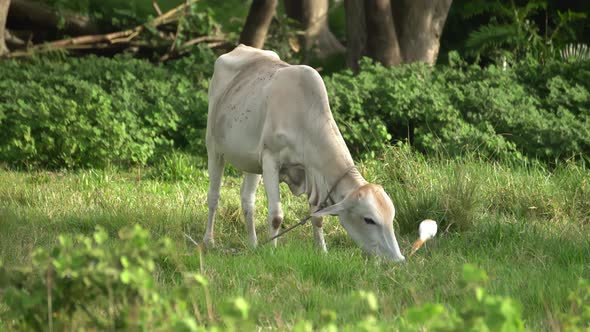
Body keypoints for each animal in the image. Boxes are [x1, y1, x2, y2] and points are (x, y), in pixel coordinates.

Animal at [205, 44, 408, 262]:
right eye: (369, 219)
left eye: (392, 217)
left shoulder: (312, 174)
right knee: (214, 197)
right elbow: (276, 215)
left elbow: (317, 217)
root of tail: (241, 47)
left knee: (247, 200)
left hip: (251, 163)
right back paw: (209, 241)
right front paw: (272, 252)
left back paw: (253, 244)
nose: (399, 260)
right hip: (214, 147)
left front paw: (322, 251)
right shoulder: (270, 159)